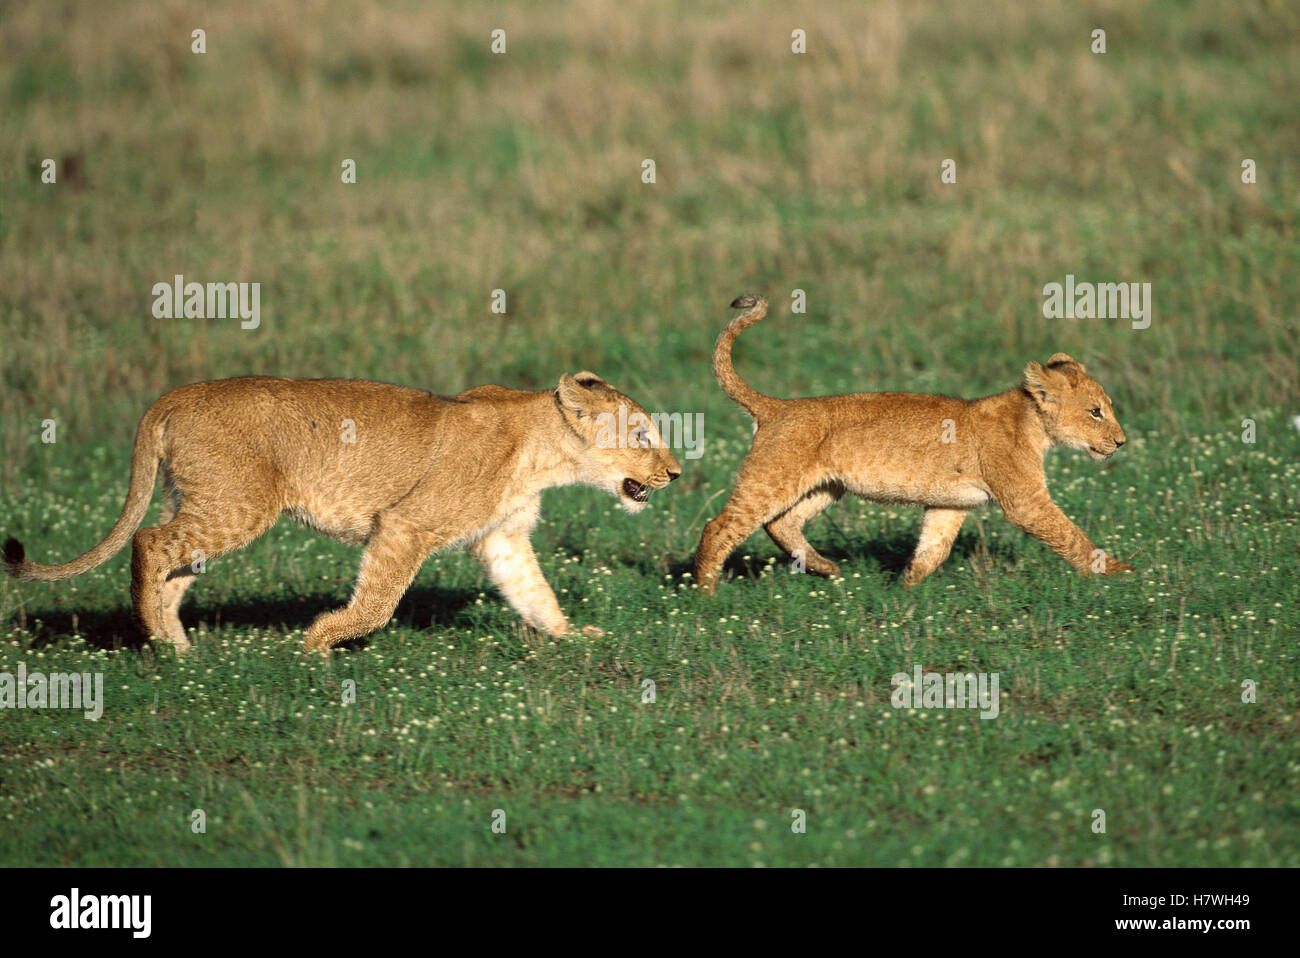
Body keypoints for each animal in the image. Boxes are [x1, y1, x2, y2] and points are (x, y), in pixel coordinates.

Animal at [5, 374, 681, 652]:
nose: (675, 473)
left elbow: (536, 595)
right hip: (238, 505)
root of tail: (172, 396)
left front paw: (575, 638)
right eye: (642, 436)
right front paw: (320, 643)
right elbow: (377, 604)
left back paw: (178, 649)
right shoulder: (406, 524)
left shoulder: (502, 540)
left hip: (206, 505)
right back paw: (155, 640)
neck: (545, 452)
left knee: (172, 570)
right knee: (148, 544)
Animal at [695, 295, 1135, 592]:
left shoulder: (950, 504)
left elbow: (932, 550)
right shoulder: (1025, 501)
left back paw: (828, 568)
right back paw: (705, 592)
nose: (1121, 442)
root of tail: (776, 406)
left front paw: (904, 590)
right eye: (1096, 411)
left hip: (824, 486)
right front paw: (1118, 573)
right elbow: (1070, 534)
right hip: (772, 478)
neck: (1034, 423)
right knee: (719, 527)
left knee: (780, 523)